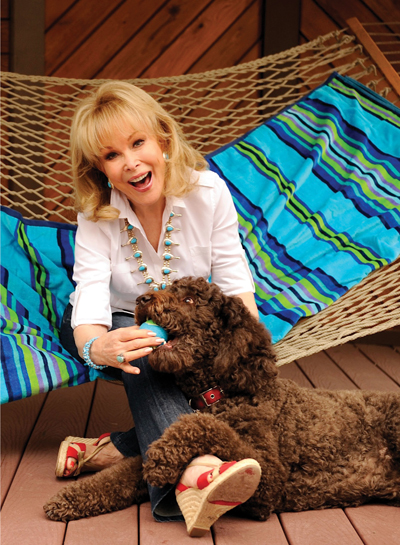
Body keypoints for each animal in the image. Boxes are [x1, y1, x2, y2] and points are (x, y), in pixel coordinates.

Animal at [44, 278, 400, 520]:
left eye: (189, 298)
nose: (142, 299)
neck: (218, 393)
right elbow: (121, 475)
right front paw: (71, 499)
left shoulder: (270, 478)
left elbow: (206, 427)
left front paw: (163, 455)